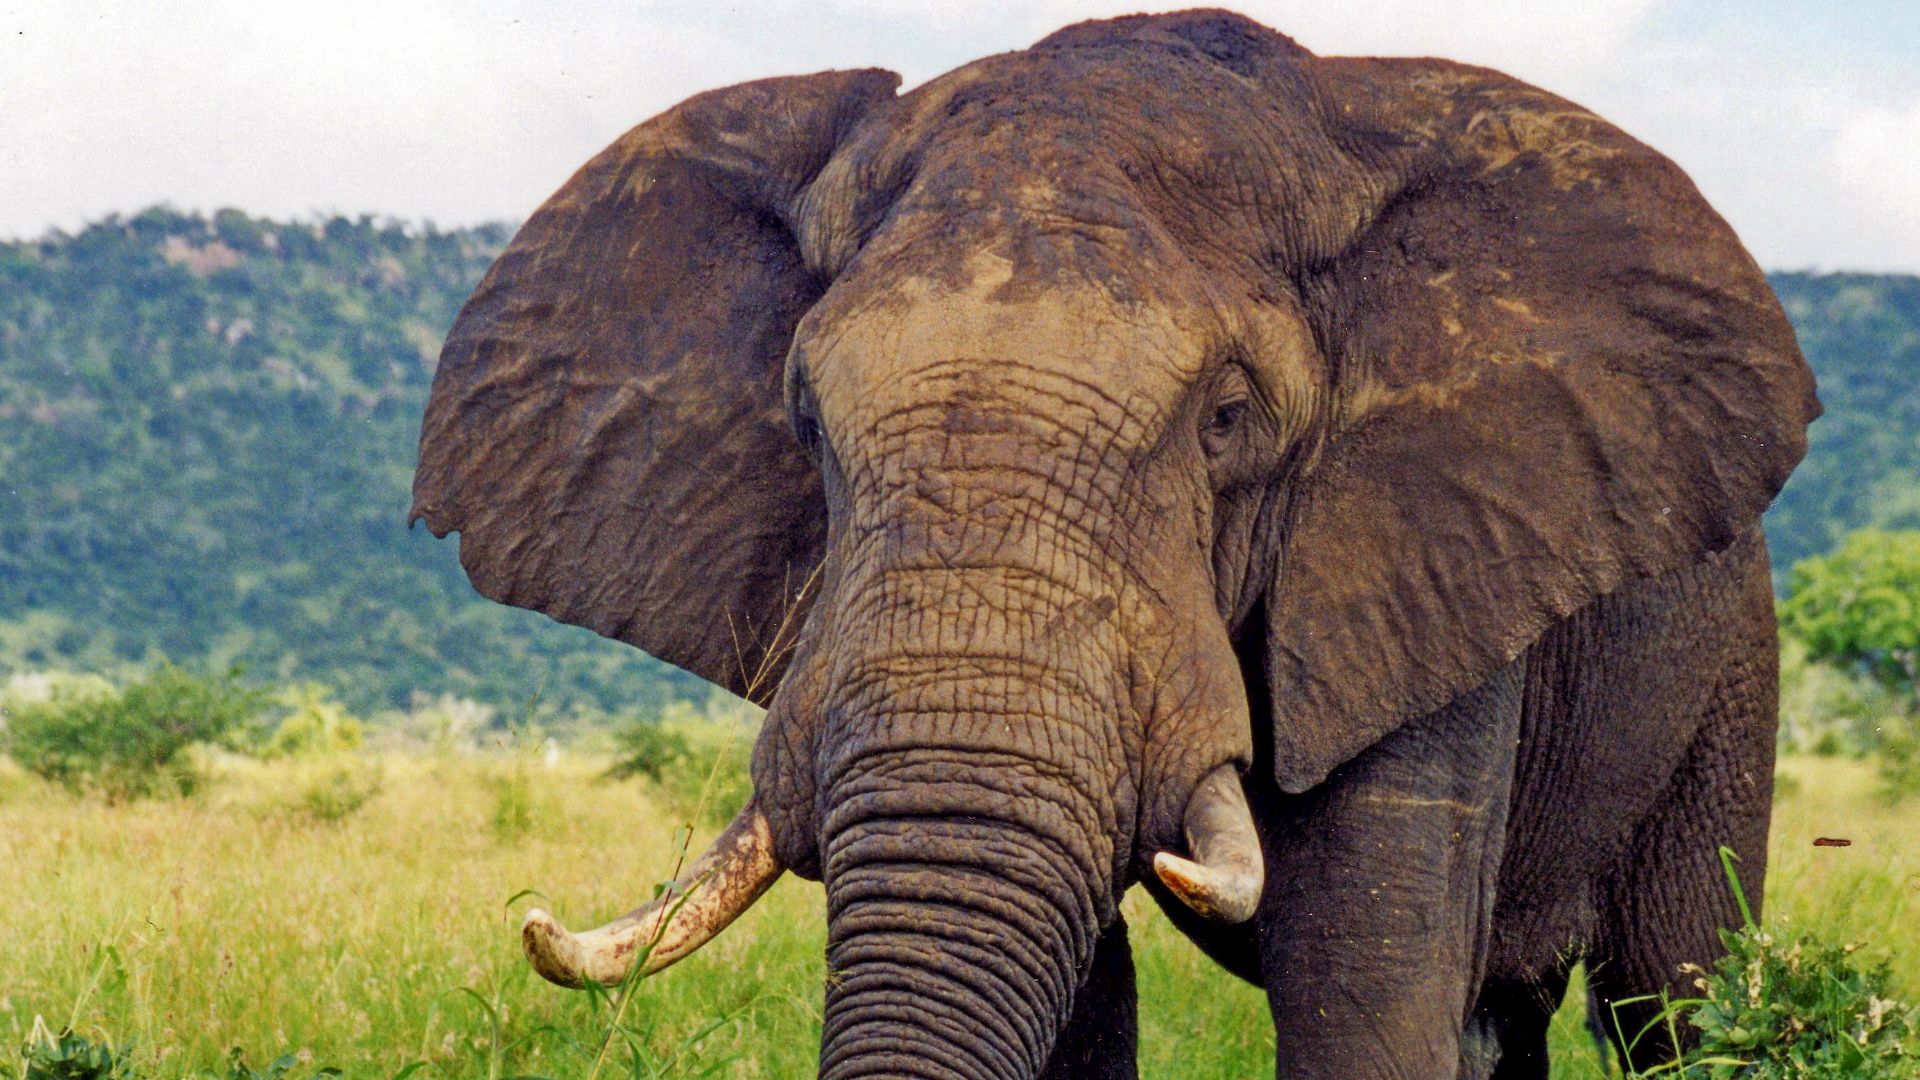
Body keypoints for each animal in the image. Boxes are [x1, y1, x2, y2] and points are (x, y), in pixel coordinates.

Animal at [410, 10, 1819, 1078]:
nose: (533, 917)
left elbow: (1363, 998)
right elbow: (1071, 991)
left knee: (1675, 993)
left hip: (1729, 665)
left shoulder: (1417, 553)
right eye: (805, 420)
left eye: (1228, 419)